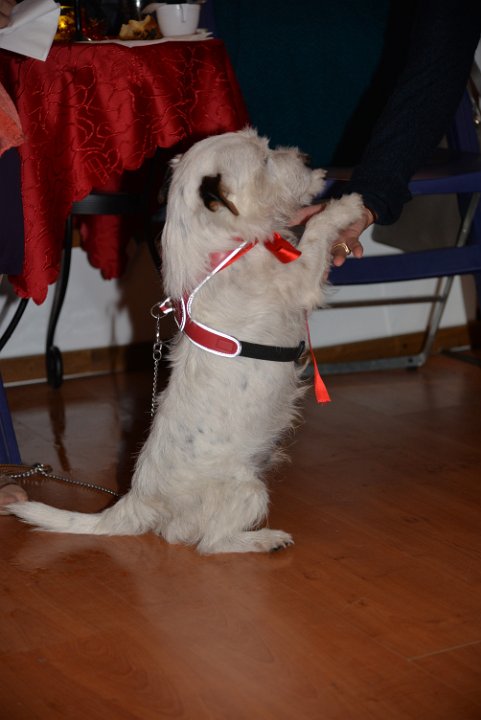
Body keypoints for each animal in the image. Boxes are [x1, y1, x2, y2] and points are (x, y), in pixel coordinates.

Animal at [8, 128, 363, 554]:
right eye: (263, 161)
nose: (307, 158)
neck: (224, 247)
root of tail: (136, 500)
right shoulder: (301, 279)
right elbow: (316, 234)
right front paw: (344, 207)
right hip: (248, 490)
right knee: (207, 542)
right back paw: (265, 540)